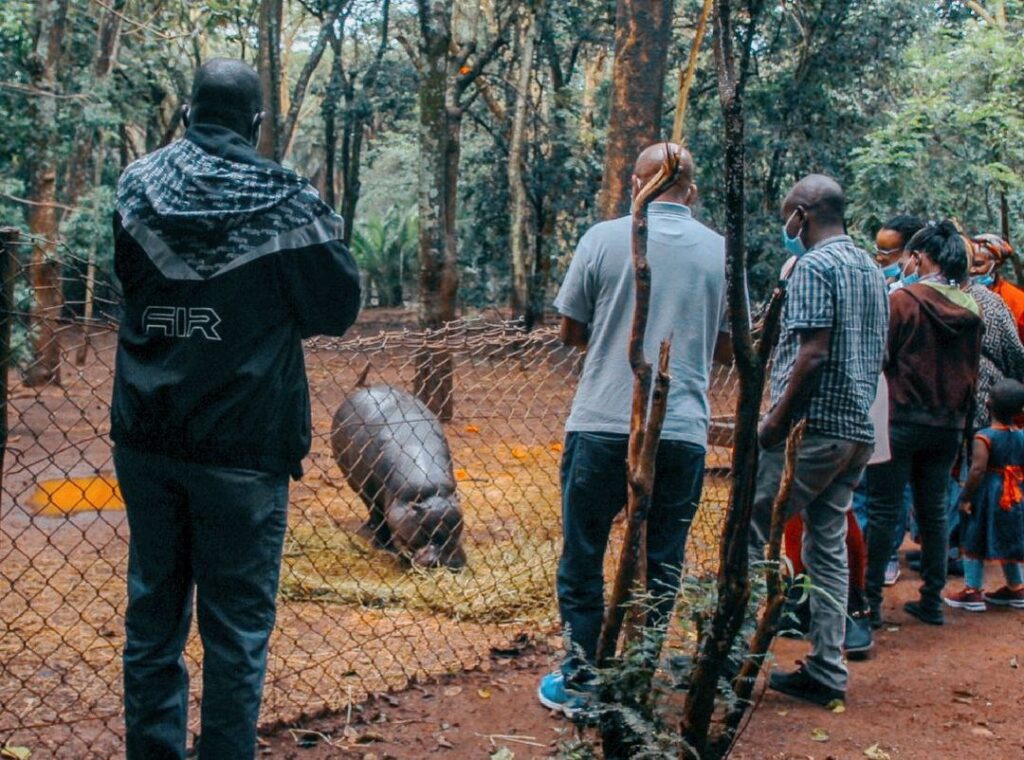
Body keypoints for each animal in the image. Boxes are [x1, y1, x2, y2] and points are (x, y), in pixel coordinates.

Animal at [329, 387, 466, 573]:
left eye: (458, 529)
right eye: (424, 531)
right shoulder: (373, 494)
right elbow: (380, 517)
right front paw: (385, 548)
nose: (453, 563)